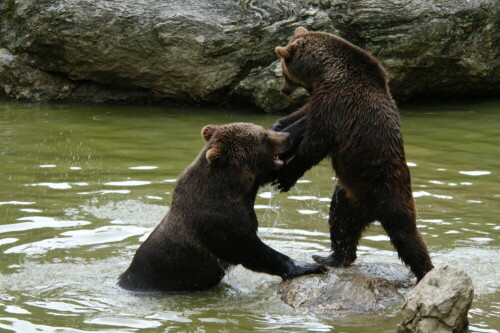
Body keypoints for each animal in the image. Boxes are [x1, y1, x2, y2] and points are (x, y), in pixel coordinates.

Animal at [119, 121, 326, 290]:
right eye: (264, 137)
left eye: (264, 129)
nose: (288, 136)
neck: (236, 191)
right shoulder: (219, 224)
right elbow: (251, 250)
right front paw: (308, 265)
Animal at [270, 27, 434, 280]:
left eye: (285, 72)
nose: (284, 90)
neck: (324, 71)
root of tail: (371, 212)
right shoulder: (323, 96)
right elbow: (304, 115)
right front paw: (279, 125)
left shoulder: (338, 100)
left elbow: (317, 140)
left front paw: (286, 177)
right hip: (348, 194)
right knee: (340, 221)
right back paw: (332, 257)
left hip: (388, 190)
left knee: (406, 236)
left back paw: (426, 271)